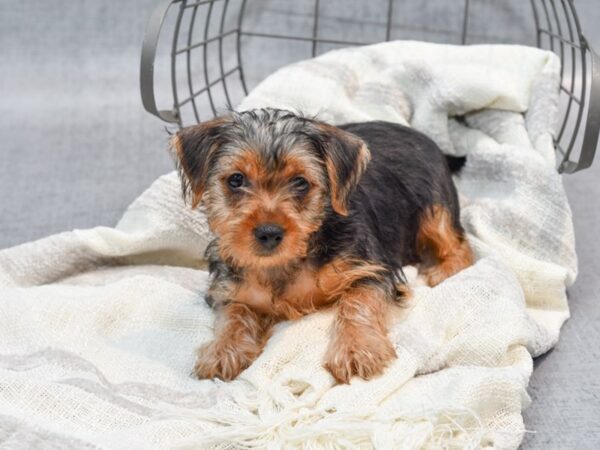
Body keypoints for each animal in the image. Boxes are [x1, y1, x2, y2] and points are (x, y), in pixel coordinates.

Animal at [170, 107, 474, 382]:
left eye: (300, 182)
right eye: (236, 179)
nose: (269, 232)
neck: (292, 258)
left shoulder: (372, 269)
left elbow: (358, 301)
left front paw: (356, 348)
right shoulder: (229, 288)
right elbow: (234, 313)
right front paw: (223, 350)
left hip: (435, 208)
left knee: (460, 245)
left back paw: (443, 270)